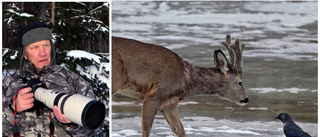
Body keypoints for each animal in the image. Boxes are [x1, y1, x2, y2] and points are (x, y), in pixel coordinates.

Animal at [111, 34, 249, 136]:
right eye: (240, 82)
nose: (246, 99)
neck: (185, 79)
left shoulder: (169, 104)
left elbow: (179, 130)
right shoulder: (155, 94)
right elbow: (147, 127)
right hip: (116, 78)